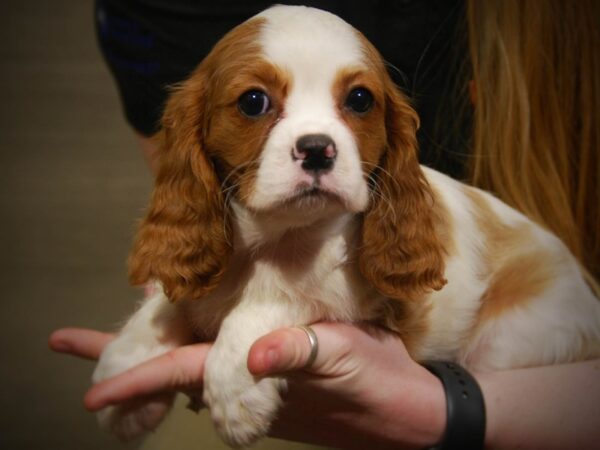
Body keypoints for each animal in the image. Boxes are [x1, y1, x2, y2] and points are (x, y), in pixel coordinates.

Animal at [92, 5, 600, 448]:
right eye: (253, 102)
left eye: (359, 100)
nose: (317, 148)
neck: (274, 234)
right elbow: (168, 303)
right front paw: (124, 367)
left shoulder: (361, 298)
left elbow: (276, 295)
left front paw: (235, 390)